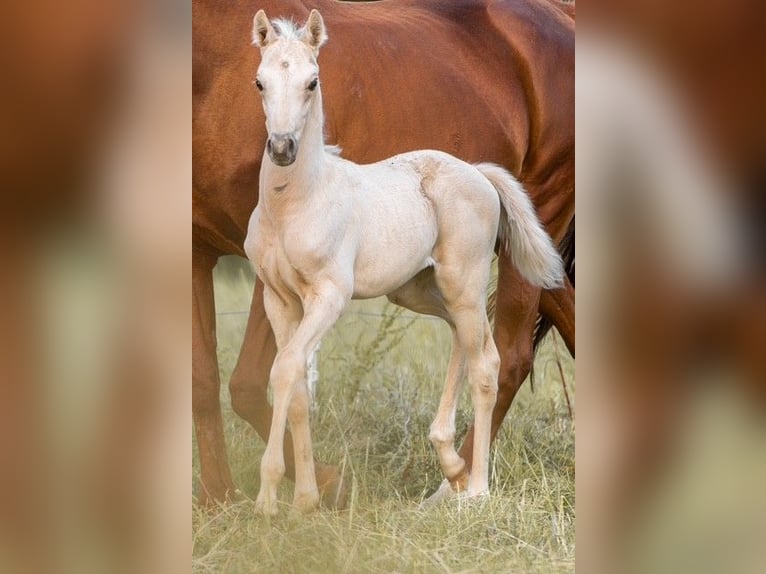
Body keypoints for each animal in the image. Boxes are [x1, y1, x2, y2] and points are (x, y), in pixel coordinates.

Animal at [194, 0, 576, 506]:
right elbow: (280, 385)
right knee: (473, 335)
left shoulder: (327, 295)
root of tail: (479, 172)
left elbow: (276, 373)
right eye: (258, 82)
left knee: (496, 359)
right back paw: (451, 465)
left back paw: (470, 488)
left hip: (488, 262)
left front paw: (280, 495)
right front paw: (294, 500)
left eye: (313, 81)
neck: (298, 199)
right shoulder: (267, 290)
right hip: (422, 289)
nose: (281, 148)